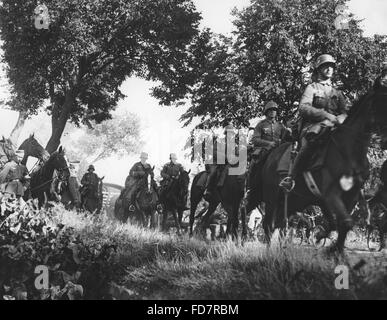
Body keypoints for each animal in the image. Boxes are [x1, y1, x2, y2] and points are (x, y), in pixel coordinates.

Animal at [260, 84, 387, 254]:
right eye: (382, 102)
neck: (349, 151)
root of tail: (272, 154)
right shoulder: (331, 194)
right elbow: (345, 222)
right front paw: (331, 246)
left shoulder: (351, 196)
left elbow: (342, 224)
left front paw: (331, 245)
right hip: (272, 198)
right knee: (269, 225)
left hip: (296, 200)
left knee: (282, 223)